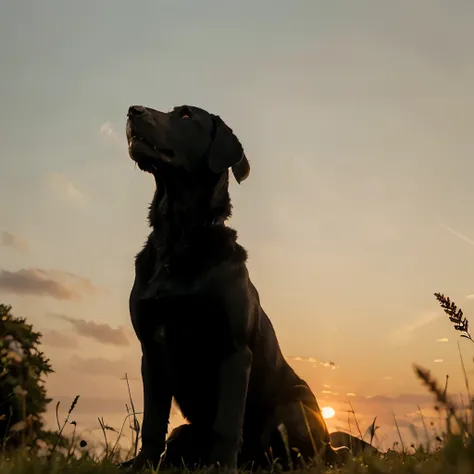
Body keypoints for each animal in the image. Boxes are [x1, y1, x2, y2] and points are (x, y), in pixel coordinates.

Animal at [121, 103, 352, 470]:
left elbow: (227, 422)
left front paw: (220, 466)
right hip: (185, 432)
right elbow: (153, 422)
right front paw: (143, 464)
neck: (179, 239)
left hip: (294, 407)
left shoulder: (233, 349)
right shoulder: (152, 351)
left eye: (186, 116)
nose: (133, 110)